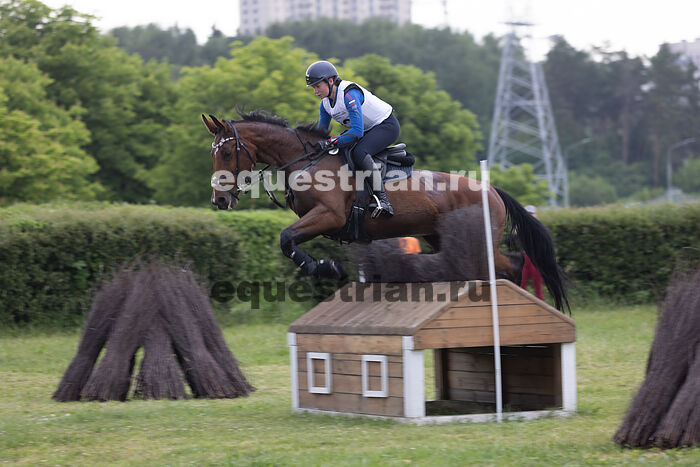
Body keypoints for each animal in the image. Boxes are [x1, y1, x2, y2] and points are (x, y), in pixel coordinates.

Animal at [202, 110, 569, 312]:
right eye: (213, 154)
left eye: (227, 153)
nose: (219, 200)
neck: (306, 160)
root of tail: (492, 190)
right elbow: (288, 241)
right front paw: (326, 267)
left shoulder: (329, 216)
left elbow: (286, 238)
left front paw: (328, 267)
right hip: (443, 239)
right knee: (509, 266)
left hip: (480, 242)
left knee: (515, 263)